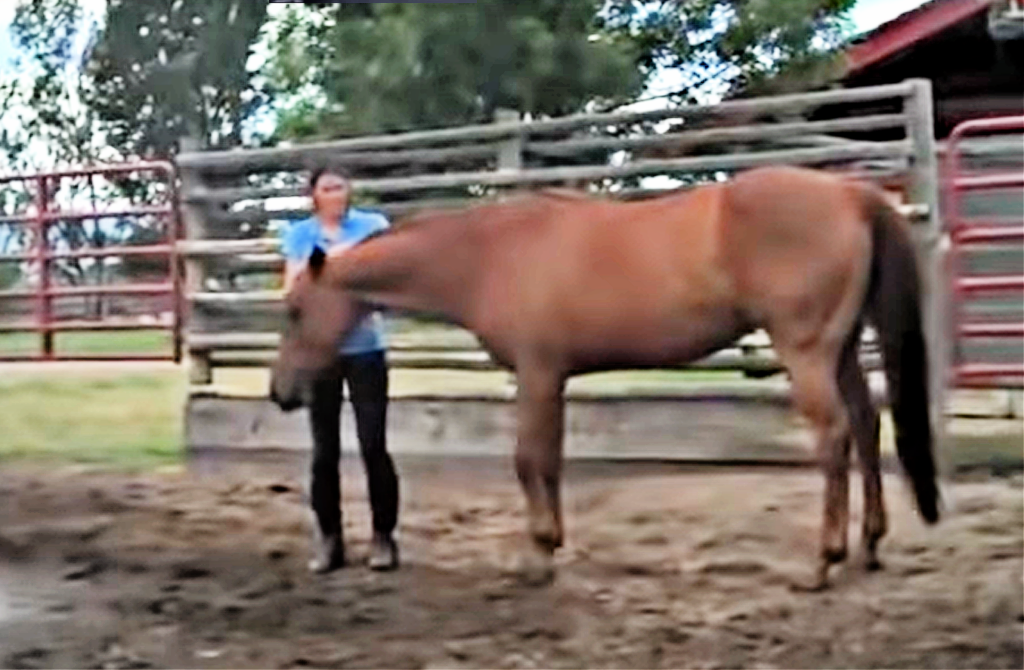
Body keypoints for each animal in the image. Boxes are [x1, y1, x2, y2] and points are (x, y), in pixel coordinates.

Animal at [269, 165, 939, 590]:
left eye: (296, 310)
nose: (281, 394)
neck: (490, 255)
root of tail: (852, 193)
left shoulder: (537, 373)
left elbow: (527, 459)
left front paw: (537, 559)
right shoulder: (556, 378)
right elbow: (551, 460)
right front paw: (553, 546)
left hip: (806, 352)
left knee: (834, 439)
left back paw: (822, 564)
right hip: (842, 350)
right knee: (866, 423)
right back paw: (868, 549)